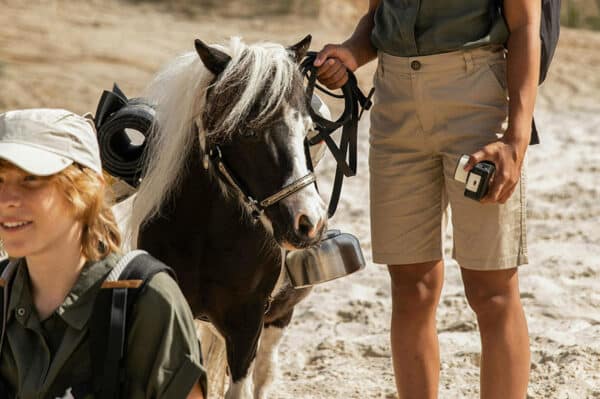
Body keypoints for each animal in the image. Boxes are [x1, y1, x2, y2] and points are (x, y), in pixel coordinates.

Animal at [123, 36, 326, 398]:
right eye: (248, 131)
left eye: (308, 128)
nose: (309, 222)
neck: (206, 237)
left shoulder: (247, 324)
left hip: (280, 317)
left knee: (264, 373)